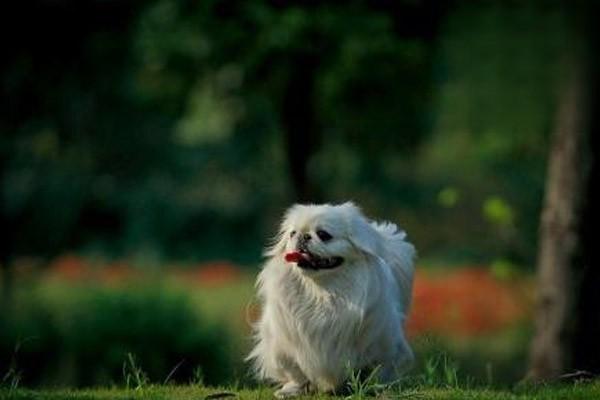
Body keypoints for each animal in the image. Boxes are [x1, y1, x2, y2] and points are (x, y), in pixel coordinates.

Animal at [246, 203, 414, 396]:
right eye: (292, 233)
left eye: (323, 234)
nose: (303, 236)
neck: (322, 293)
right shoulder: (282, 346)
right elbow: (294, 371)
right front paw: (293, 389)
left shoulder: (383, 345)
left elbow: (377, 369)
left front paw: (372, 387)